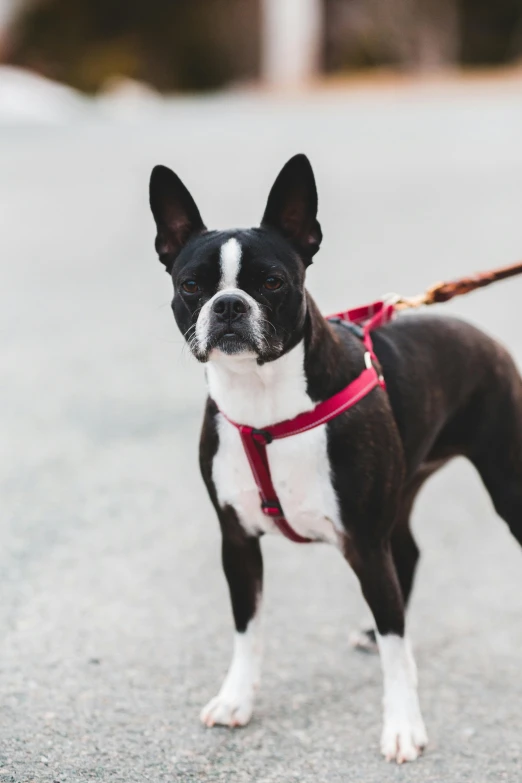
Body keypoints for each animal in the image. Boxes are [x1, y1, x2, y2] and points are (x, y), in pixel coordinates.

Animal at [146, 155, 520, 764]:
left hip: (505, 481)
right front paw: (236, 698)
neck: (265, 403)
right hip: (402, 489)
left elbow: (396, 646)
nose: (228, 305)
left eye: (273, 282)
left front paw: (402, 726)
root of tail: (481, 335)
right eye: (191, 285)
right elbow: (247, 627)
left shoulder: (362, 542)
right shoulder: (237, 540)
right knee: (407, 552)